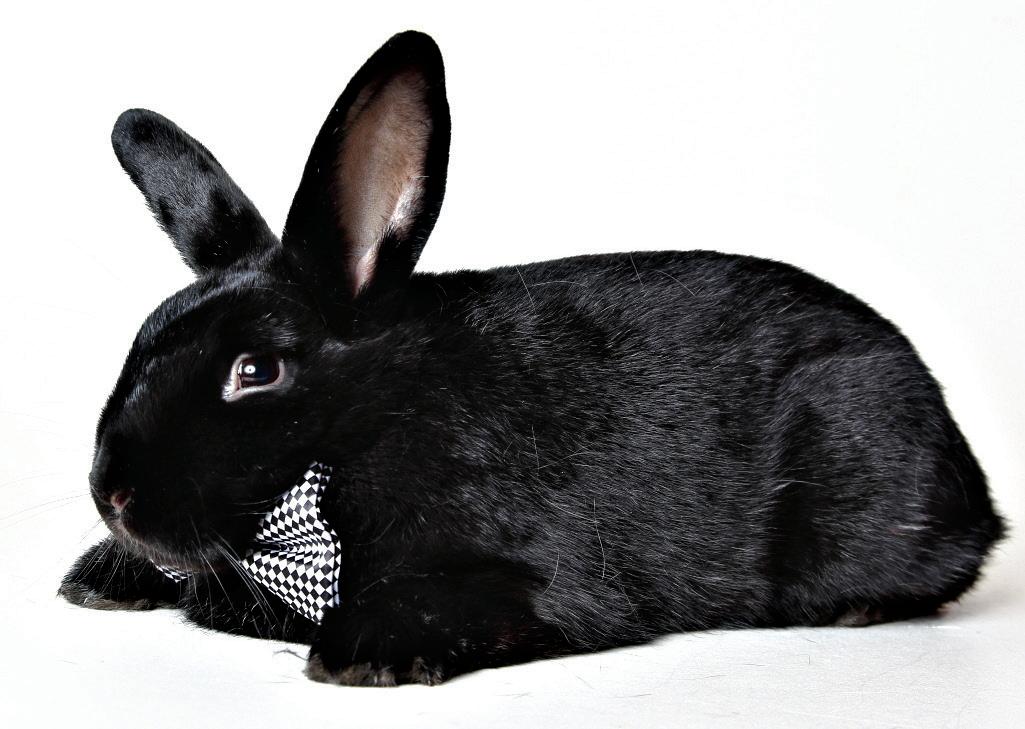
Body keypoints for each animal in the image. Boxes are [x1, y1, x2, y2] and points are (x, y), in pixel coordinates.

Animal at [59, 30, 1005, 686]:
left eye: (255, 372)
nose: (113, 495)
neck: (368, 424)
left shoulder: (534, 574)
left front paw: (361, 653)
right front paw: (98, 580)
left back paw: (858, 607)